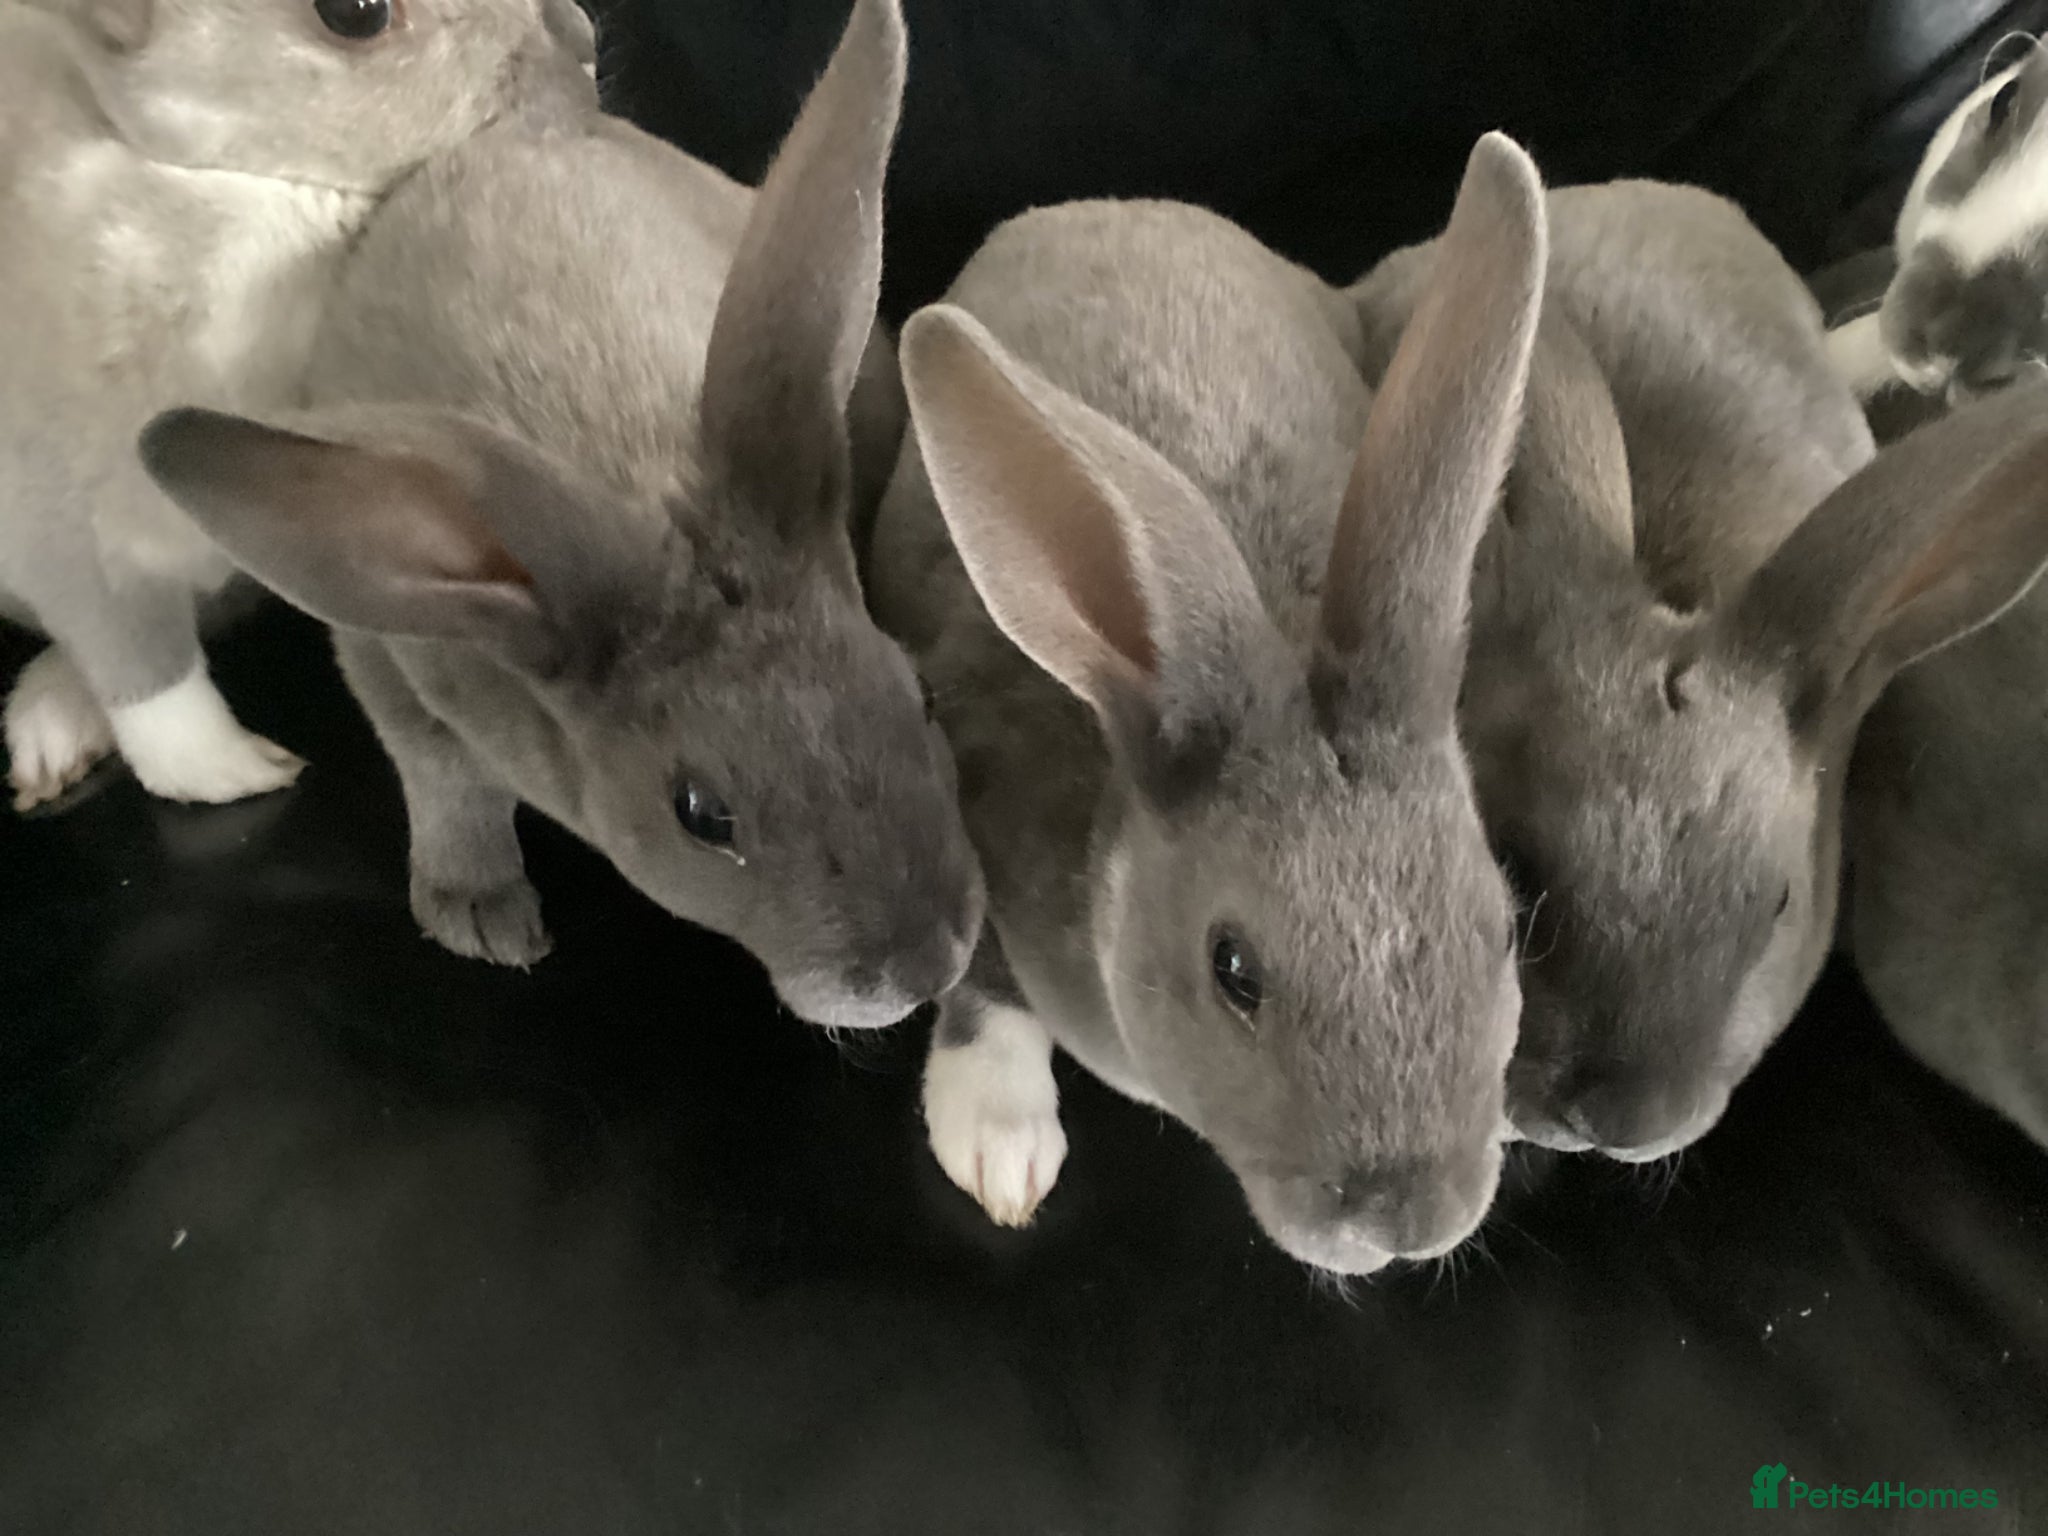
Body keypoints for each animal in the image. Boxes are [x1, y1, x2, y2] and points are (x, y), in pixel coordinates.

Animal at [136, 0, 985, 1028]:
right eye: (702, 815)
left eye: (919, 695)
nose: (928, 965)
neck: (636, 487)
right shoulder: (389, 661)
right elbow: (446, 782)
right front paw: (480, 916)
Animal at [865, 135, 1545, 1274]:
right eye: (1234, 971)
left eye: (1498, 928)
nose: (1402, 1220)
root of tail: (1112, 203)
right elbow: (981, 978)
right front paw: (999, 1145)